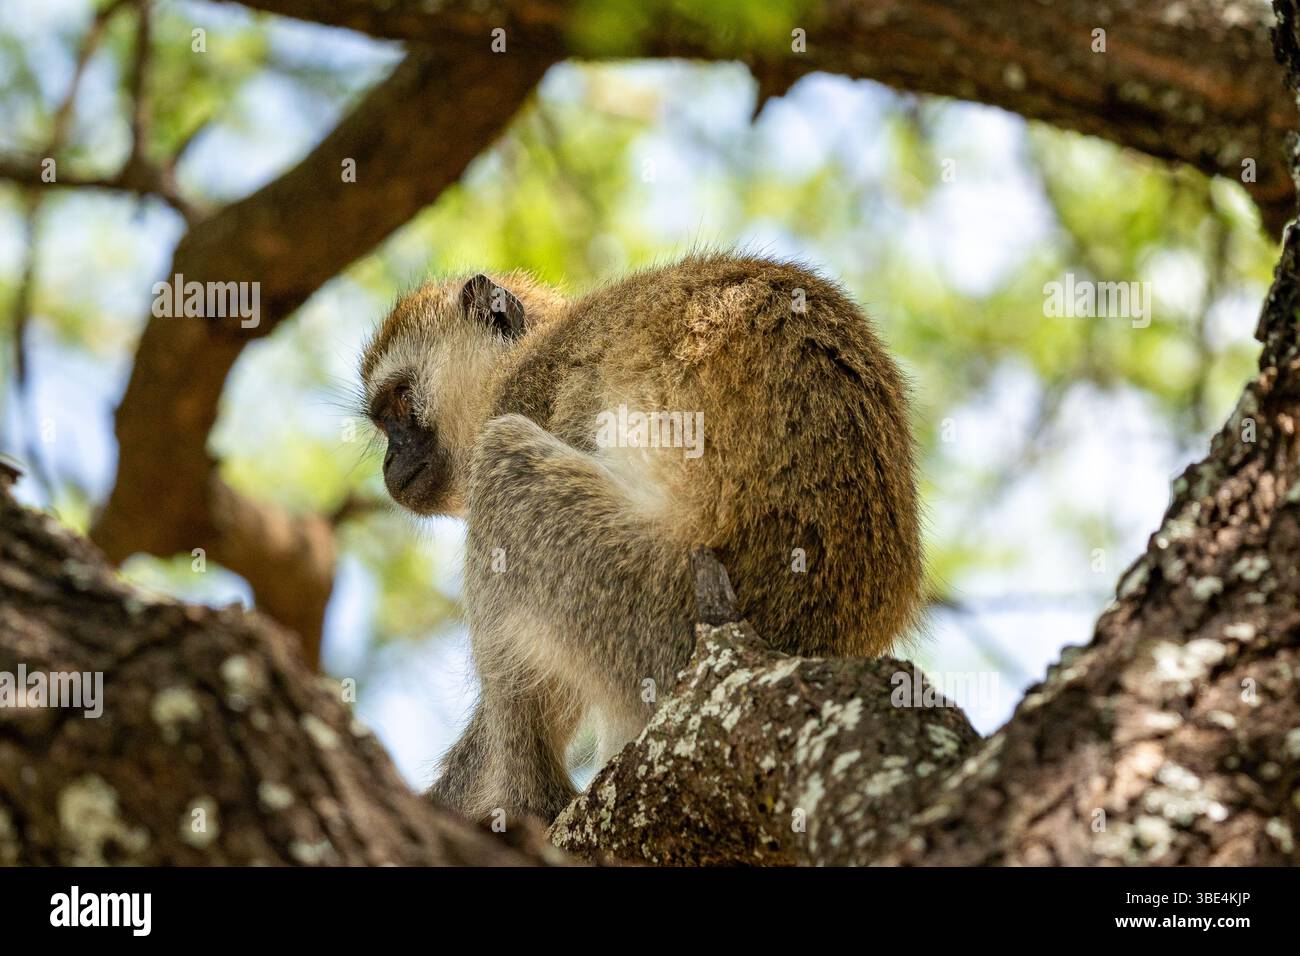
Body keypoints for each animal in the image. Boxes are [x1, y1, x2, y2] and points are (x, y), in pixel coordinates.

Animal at [359, 253, 924, 825]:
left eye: (400, 403)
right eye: (383, 425)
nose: (390, 463)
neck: (519, 354)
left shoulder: (530, 390)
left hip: (655, 611)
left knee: (504, 463)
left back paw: (534, 801)